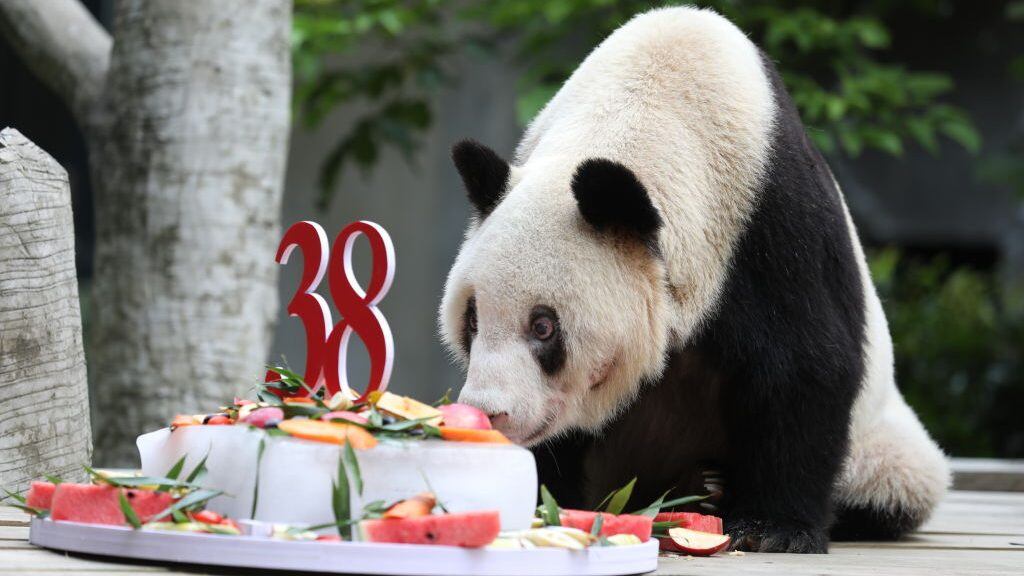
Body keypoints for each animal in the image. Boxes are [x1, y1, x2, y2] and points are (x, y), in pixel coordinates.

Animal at [439, 6, 949, 553]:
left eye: (543, 327)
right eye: (472, 320)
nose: (489, 413)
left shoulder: (771, 226)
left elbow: (806, 363)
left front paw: (773, 528)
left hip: (881, 444)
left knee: (895, 481)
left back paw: (715, 489)